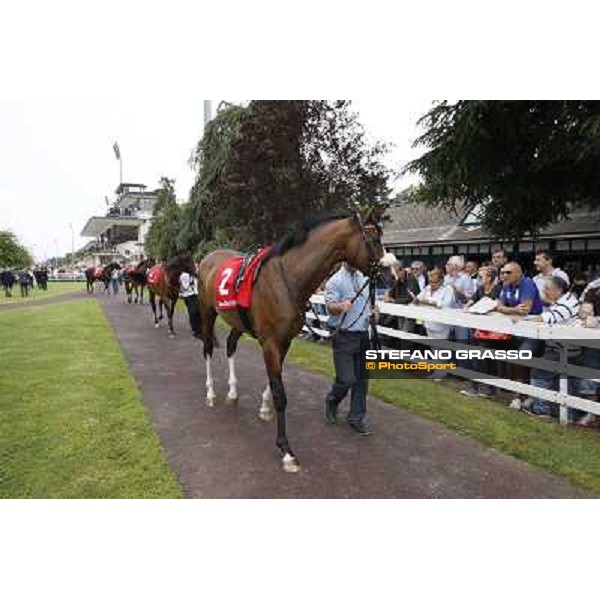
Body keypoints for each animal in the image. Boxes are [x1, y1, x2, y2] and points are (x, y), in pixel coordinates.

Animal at [197, 212, 384, 474]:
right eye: (374, 240)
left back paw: (233, 393)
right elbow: (280, 394)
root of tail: (207, 258)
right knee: (207, 349)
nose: (390, 273)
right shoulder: (270, 343)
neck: (288, 279)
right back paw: (211, 393)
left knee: (231, 346)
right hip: (207, 313)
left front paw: (265, 409)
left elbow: (274, 382)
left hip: (237, 321)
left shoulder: (283, 342)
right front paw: (286, 450)